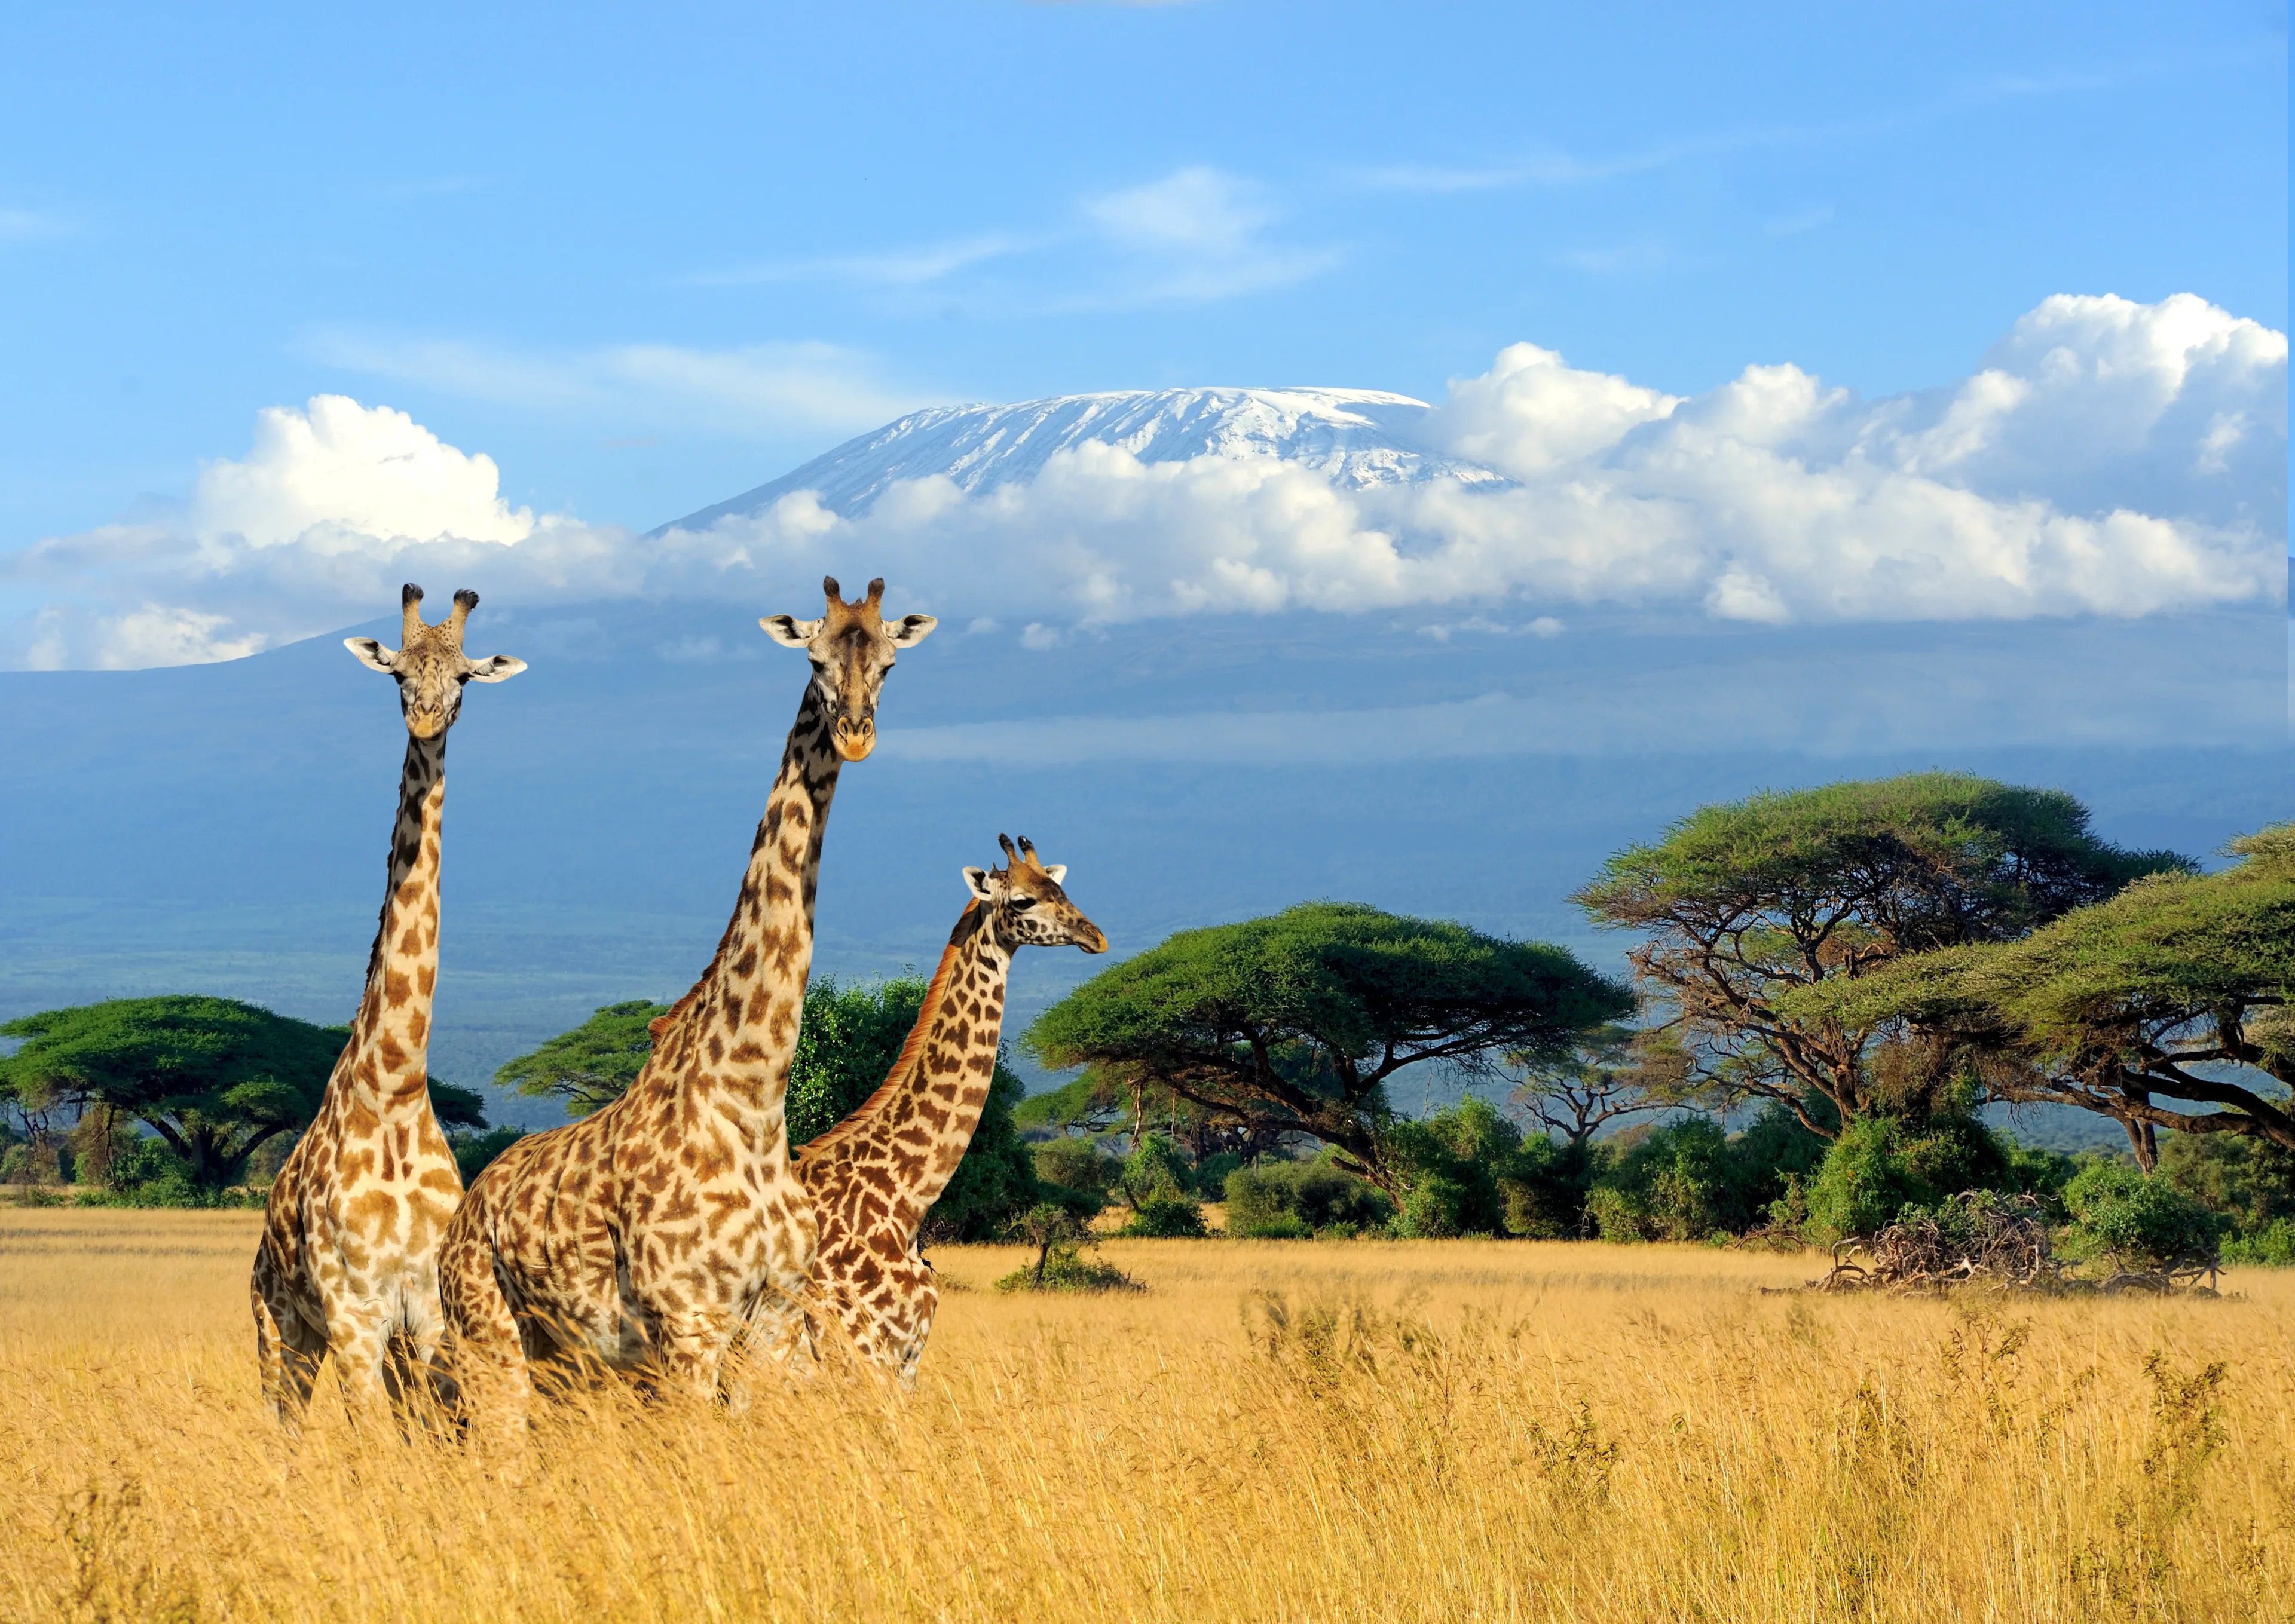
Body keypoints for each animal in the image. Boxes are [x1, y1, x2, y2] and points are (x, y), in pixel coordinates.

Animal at [251, 584, 526, 1431]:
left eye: (465, 676)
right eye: (399, 672)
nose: (428, 718)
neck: (397, 1085)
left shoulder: (427, 1312)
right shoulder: (354, 1313)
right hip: (280, 1327)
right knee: (284, 1425)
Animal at [440, 576, 934, 1433]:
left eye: (891, 663)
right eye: (814, 658)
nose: (855, 734)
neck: (752, 1098)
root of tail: (463, 1217)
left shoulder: (772, 1323)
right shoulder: (690, 1325)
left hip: (563, 1359)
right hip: (489, 1335)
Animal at [789, 835, 1105, 1385]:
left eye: (1062, 889)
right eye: (1023, 901)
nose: (1097, 937)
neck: (904, 1202)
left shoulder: (906, 1361)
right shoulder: (861, 1355)